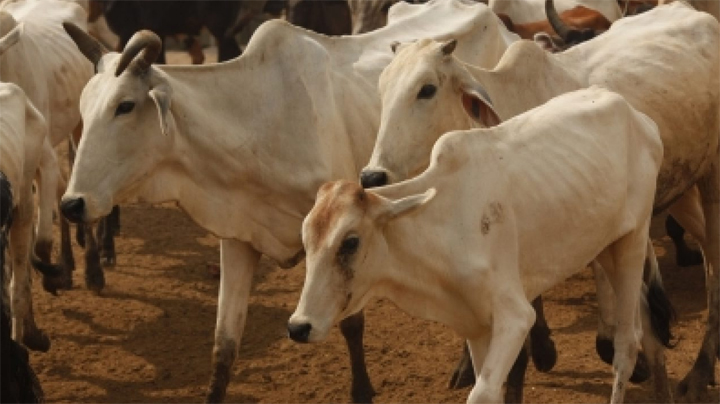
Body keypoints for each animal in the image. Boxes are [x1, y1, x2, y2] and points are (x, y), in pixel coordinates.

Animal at [60, 0, 519, 401]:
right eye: (83, 105)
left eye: (124, 106)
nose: (71, 204)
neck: (259, 122)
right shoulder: (238, 238)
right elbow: (224, 346)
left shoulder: (348, 230)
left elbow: (351, 323)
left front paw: (362, 390)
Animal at [289, 86, 671, 404]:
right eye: (306, 241)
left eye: (350, 242)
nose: (298, 327)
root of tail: (640, 119)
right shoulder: (473, 324)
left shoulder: (515, 316)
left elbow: (483, 393)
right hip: (605, 247)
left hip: (633, 240)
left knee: (626, 345)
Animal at [360, 2, 719, 400]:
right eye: (382, 87)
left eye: (427, 89)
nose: (373, 176)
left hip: (710, 180)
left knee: (713, 266)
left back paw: (699, 372)